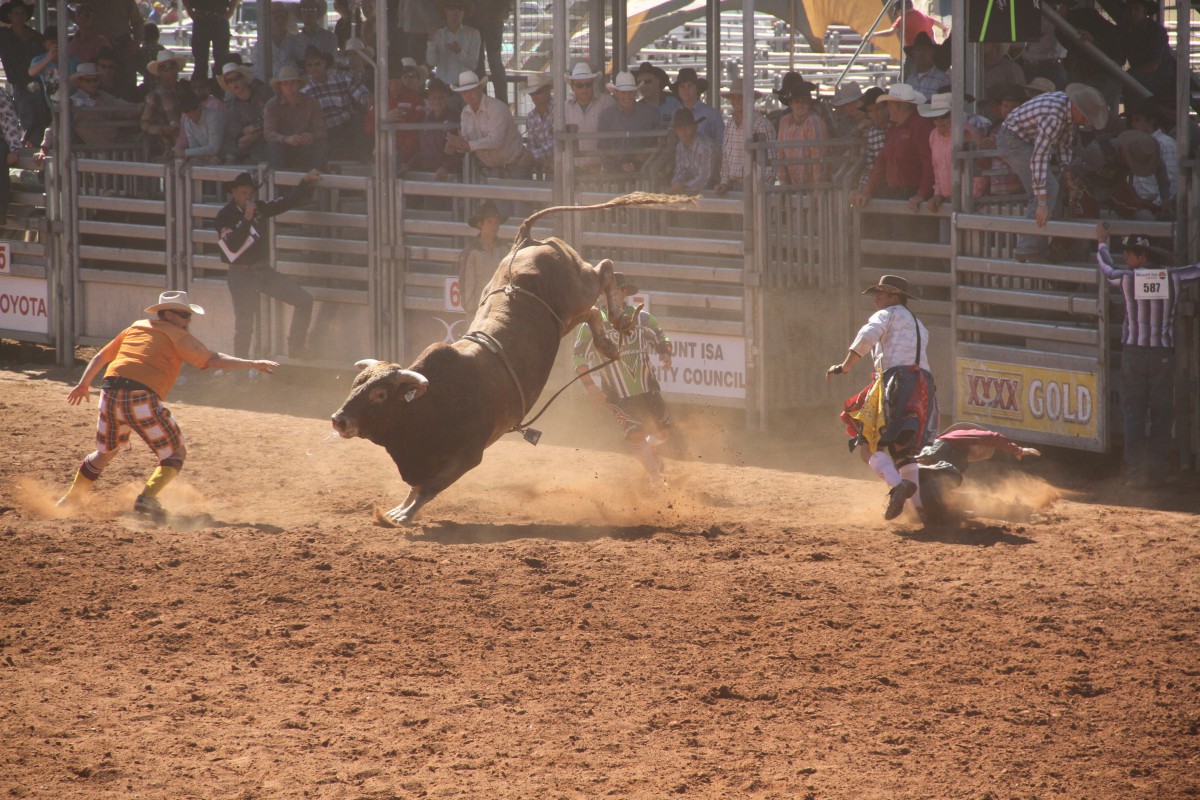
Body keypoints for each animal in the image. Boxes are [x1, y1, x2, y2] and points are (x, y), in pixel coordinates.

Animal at [333, 194, 691, 527]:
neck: (429, 402)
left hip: (578, 286)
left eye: (380, 394)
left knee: (604, 268)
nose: (339, 419)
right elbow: (417, 487)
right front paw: (399, 509)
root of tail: (526, 240)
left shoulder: (468, 456)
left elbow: (429, 488)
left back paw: (618, 316)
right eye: (356, 385)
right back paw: (608, 342)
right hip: (567, 315)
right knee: (592, 309)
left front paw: (404, 514)